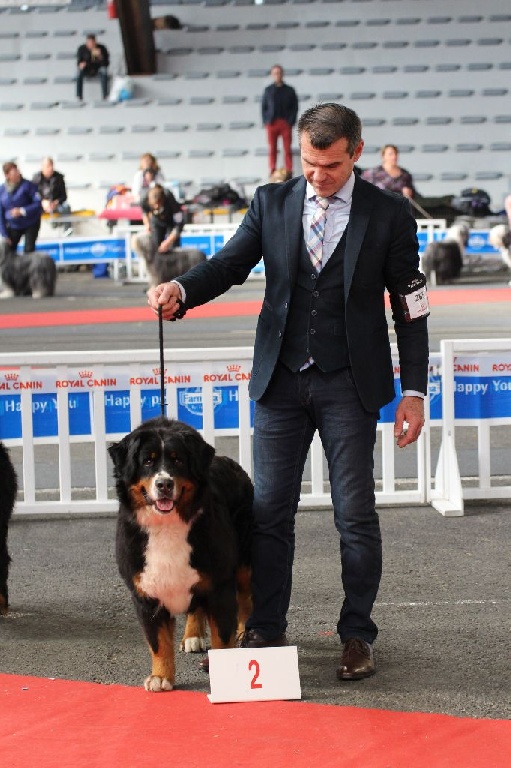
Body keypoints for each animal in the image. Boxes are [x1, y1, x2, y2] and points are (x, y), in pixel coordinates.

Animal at [109, 416, 253, 692]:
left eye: (177, 460)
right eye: (147, 461)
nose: (164, 484)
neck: (166, 527)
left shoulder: (219, 587)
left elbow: (223, 639)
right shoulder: (145, 594)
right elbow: (158, 642)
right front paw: (160, 677)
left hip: (243, 563)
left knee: (245, 598)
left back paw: (244, 633)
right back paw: (193, 636)